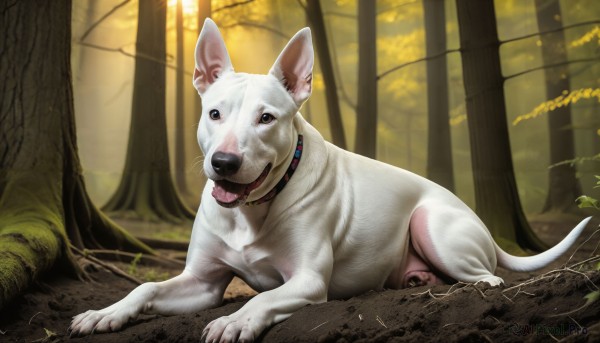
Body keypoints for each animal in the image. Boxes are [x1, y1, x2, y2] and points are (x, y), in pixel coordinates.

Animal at [70, 19, 592, 343]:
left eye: (266, 118)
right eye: (214, 113)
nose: (224, 162)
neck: (253, 211)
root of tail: (478, 221)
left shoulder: (307, 280)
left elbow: (266, 297)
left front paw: (236, 321)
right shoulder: (201, 281)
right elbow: (146, 289)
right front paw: (104, 314)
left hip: (432, 224)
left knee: (489, 275)